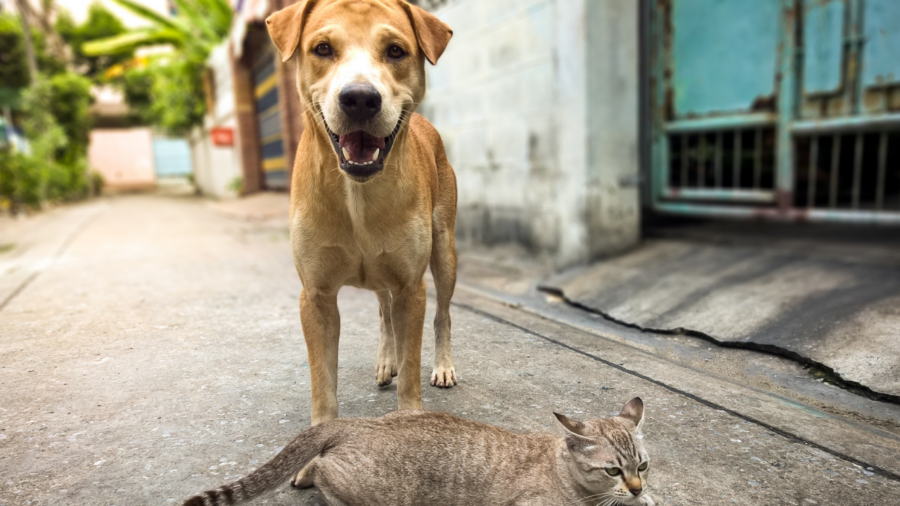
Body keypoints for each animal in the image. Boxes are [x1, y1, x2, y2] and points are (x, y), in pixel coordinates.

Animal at [264, 0, 454, 426]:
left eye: (396, 51)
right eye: (322, 48)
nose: (361, 99)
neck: (358, 194)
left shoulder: (411, 288)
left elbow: (412, 369)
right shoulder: (315, 296)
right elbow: (322, 381)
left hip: (445, 249)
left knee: (442, 314)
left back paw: (443, 365)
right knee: (383, 311)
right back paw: (386, 361)